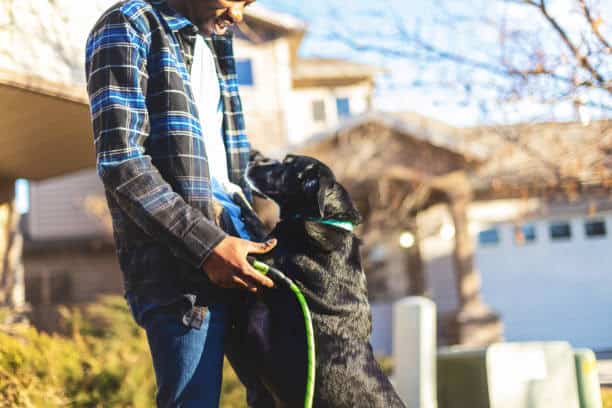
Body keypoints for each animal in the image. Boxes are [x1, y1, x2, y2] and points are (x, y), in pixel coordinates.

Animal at [226, 155, 406, 406]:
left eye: (288, 164)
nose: (254, 158)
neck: (327, 220)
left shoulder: (262, 258)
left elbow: (253, 224)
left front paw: (234, 193)